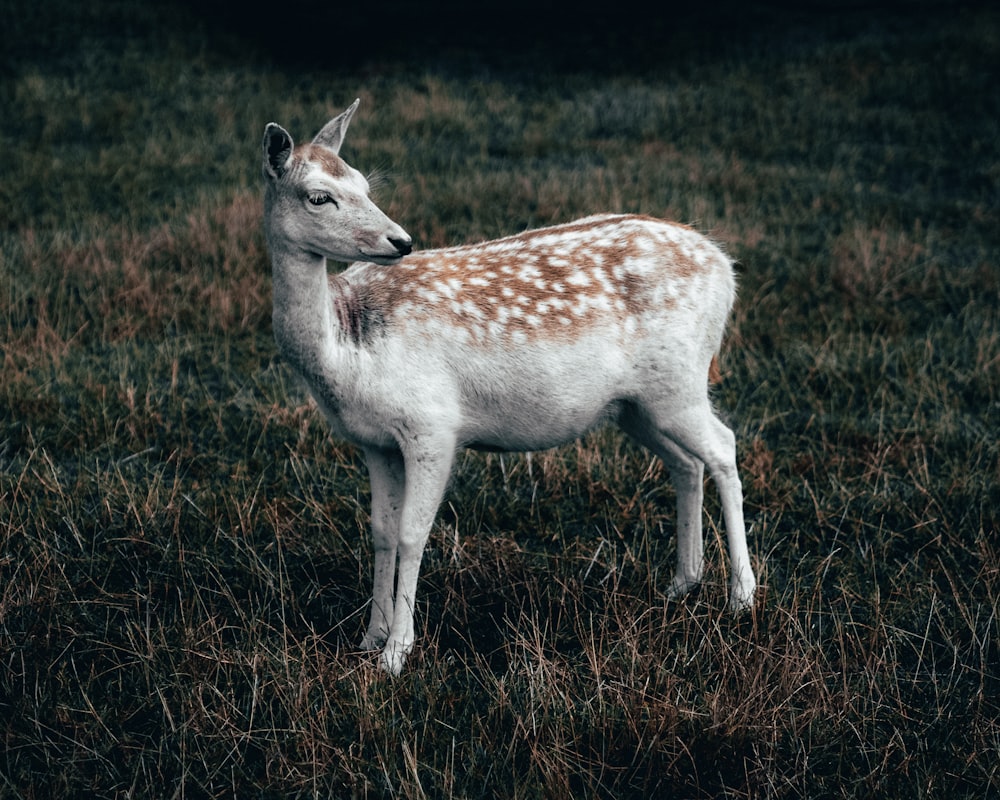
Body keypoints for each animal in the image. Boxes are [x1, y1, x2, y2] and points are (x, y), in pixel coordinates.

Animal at [262, 98, 752, 676]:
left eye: (363, 183)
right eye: (320, 196)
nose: (400, 241)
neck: (346, 347)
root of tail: (727, 270)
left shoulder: (432, 425)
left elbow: (411, 534)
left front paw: (397, 654)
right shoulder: (373, 440)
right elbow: (380, 533)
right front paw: (368, 638)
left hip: (680, 381)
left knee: (724, 446)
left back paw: (742, 596)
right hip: (637, 404)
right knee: (686, 463)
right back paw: (681, 583)